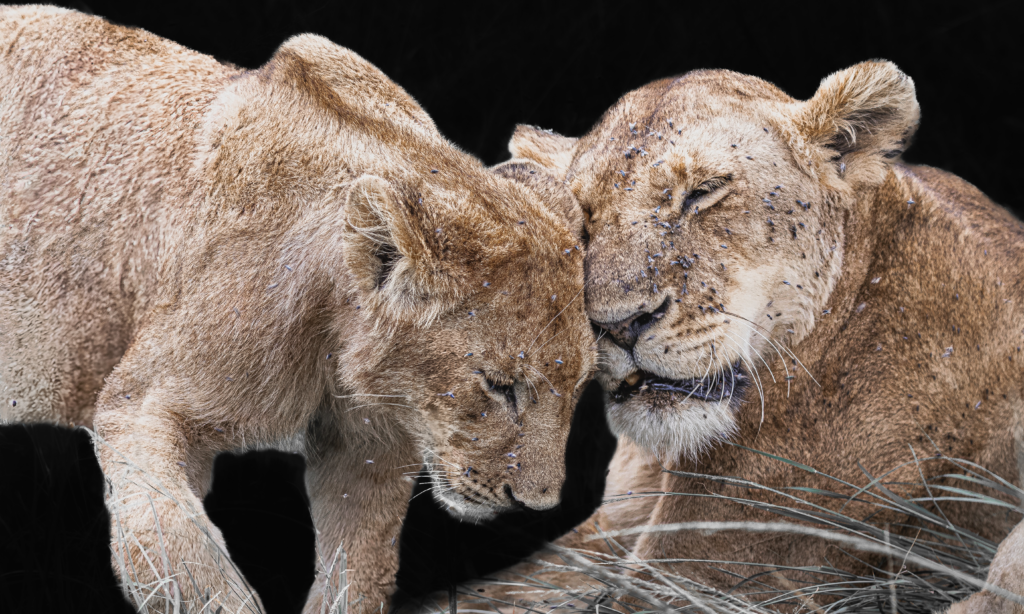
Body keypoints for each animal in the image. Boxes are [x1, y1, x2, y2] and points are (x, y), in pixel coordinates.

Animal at [0, 6, 596, 613]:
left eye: (577, 388)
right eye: (498, 386)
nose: (537, 506)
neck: (331, 339)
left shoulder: (372, 452)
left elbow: (356, 573)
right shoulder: (138, 405)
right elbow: (183, 556)